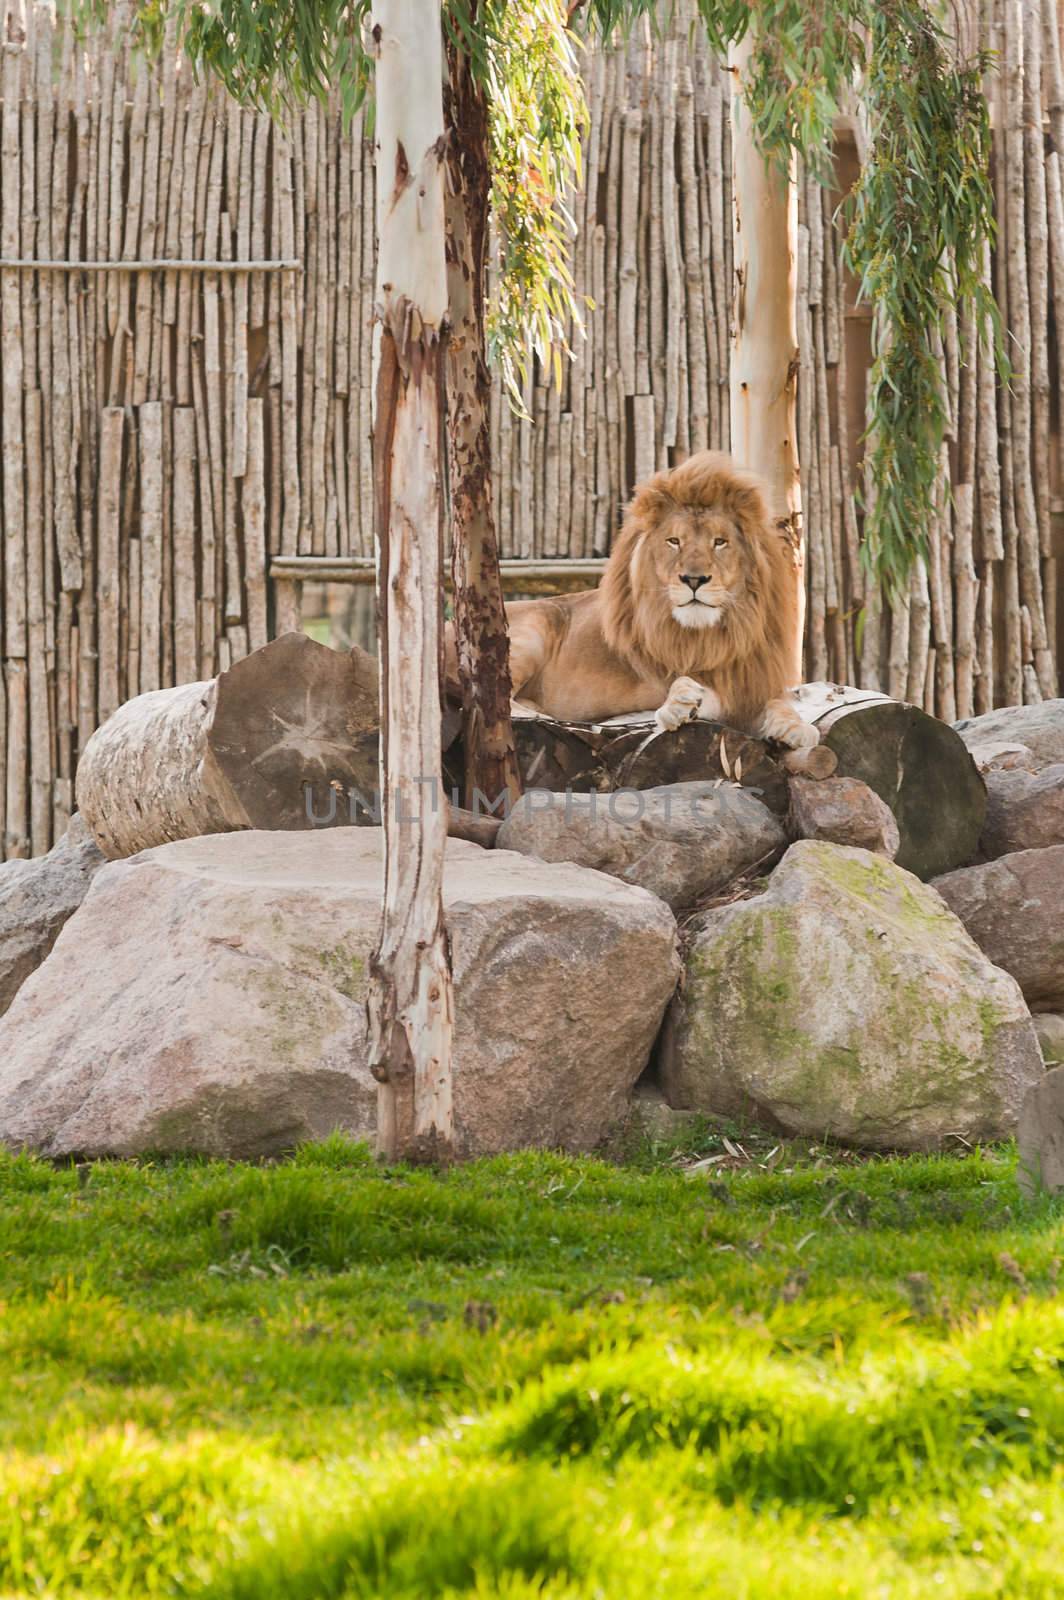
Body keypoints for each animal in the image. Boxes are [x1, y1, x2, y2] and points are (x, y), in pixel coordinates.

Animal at [489, 451, 812, 748]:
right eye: (674, 541)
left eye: (720, 542)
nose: (694, 580)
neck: (712, 634)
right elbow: (687, 690)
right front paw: (681, 704)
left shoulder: (752, 684)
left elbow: (779, 704)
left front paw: (796, 727)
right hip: (532, 631)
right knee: (500, 701)